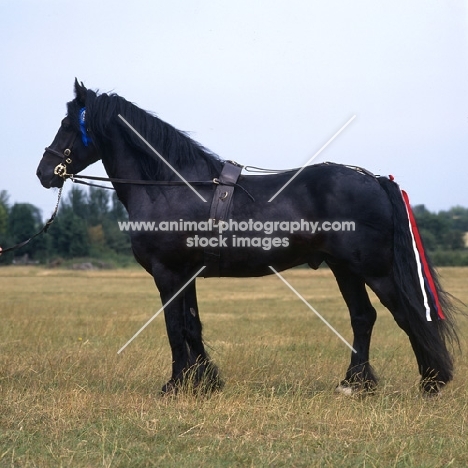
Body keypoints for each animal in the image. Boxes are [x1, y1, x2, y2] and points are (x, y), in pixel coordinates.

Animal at [35, 80, 458, 394]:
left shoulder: (167, 273)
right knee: (363, 316)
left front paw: (175, 385)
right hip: (345, 269)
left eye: (68, 123)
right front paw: (204, 382)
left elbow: (174, 326)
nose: (44, 171)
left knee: (406, 312)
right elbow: (192, 324)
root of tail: (373, 179)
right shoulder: (185, 274)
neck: (169, 186)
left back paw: (431, 381)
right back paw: (355, 384)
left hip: (373, 270)